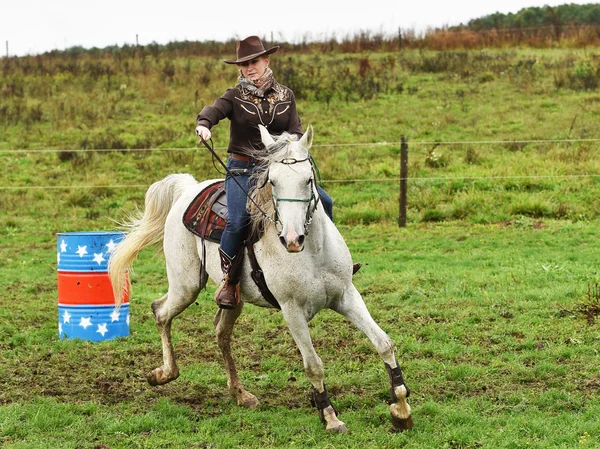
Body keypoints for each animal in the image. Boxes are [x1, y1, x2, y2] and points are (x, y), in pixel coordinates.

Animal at [108, 124, 412, 432]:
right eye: (273, 182)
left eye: (308, 179)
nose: (292, 239)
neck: (312, 252)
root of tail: (188, 189)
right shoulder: (292, 311)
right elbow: (313, 365)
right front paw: (329, 415)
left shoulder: (347, 296)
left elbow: (384, 343)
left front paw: (400, 407)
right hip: (186, 286)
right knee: (160, 311)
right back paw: (164, 374)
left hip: (233, 298)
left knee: (221, 332)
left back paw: (240, 393)